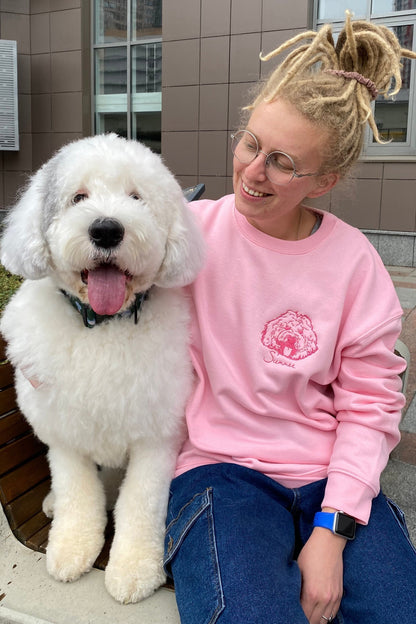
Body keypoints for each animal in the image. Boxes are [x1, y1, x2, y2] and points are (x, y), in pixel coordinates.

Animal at [0, 133, 204, 604]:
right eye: (78, 197)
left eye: (136, 197)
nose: (107, 229)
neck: (104, 325)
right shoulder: (65, 437)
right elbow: (77, 495)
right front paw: (71, 548)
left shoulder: (156, 438)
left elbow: (140, 504)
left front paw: (133, 568)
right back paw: (52, 503)